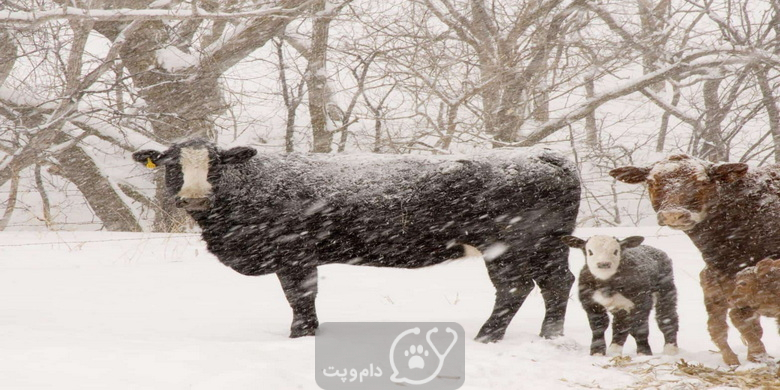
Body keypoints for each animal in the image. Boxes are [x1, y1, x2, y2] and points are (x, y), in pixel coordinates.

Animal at [133, 137, 580, 342]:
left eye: (216, 164)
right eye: (172, 165)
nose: (194, 196)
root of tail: (540, 154)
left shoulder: (294, 253)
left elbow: (300, 296)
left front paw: (301, 335)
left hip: (508, 246)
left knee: (514, 288)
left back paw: (487, 337)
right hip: (549, 244)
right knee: (557, 282)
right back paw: (550, 334)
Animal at [608, 155, 780, 366]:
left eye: (702, 182)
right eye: (651, 182)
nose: (673, 214)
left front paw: (757, 357)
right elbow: (745, 320)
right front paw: (755, 357)